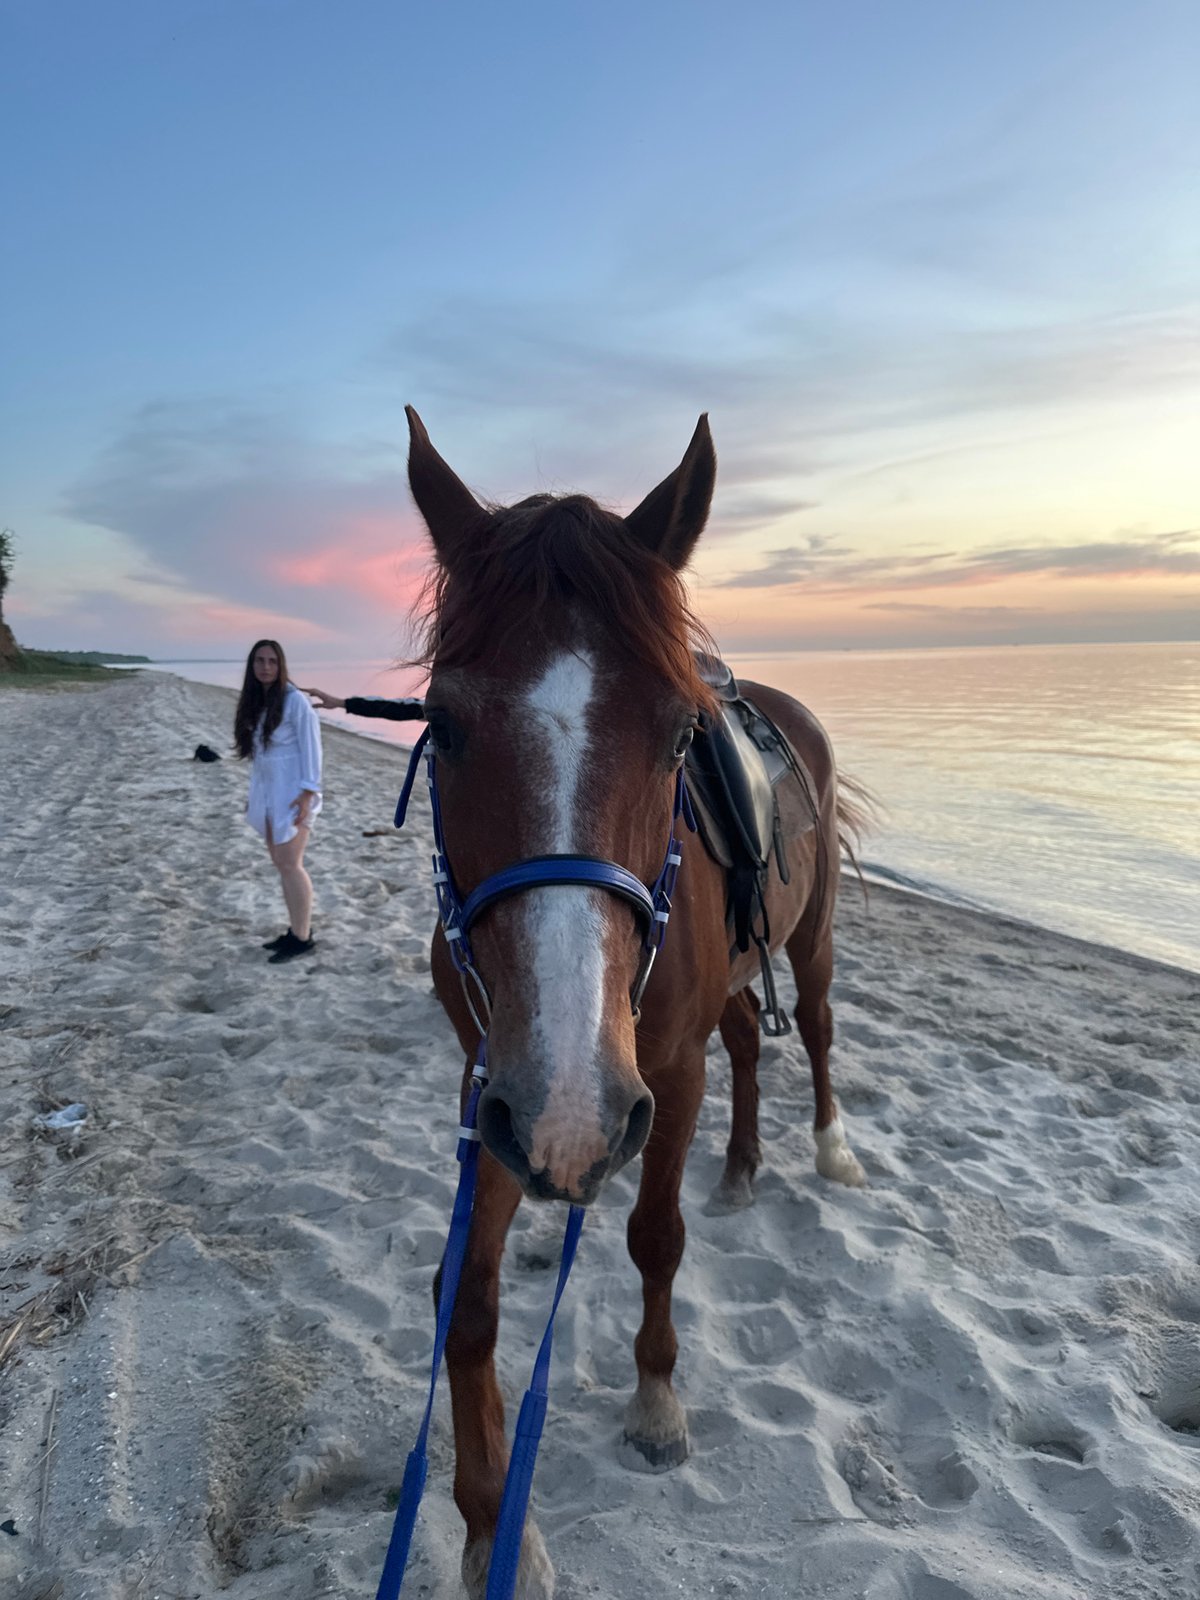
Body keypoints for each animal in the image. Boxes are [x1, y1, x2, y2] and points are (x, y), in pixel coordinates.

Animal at [403, 407, 867, 1598]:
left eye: (677, 735)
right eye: (443, 722)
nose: (574, 1114)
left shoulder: (657, 1077)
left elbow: (656, 1237)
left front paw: (658, 1403)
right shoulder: (496, 1089)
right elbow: (464, 1300)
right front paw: (491, 1529)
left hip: (810, 940)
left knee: (816, 1032)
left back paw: (828, 1148)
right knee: (750, 1044)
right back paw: (742, 1169)